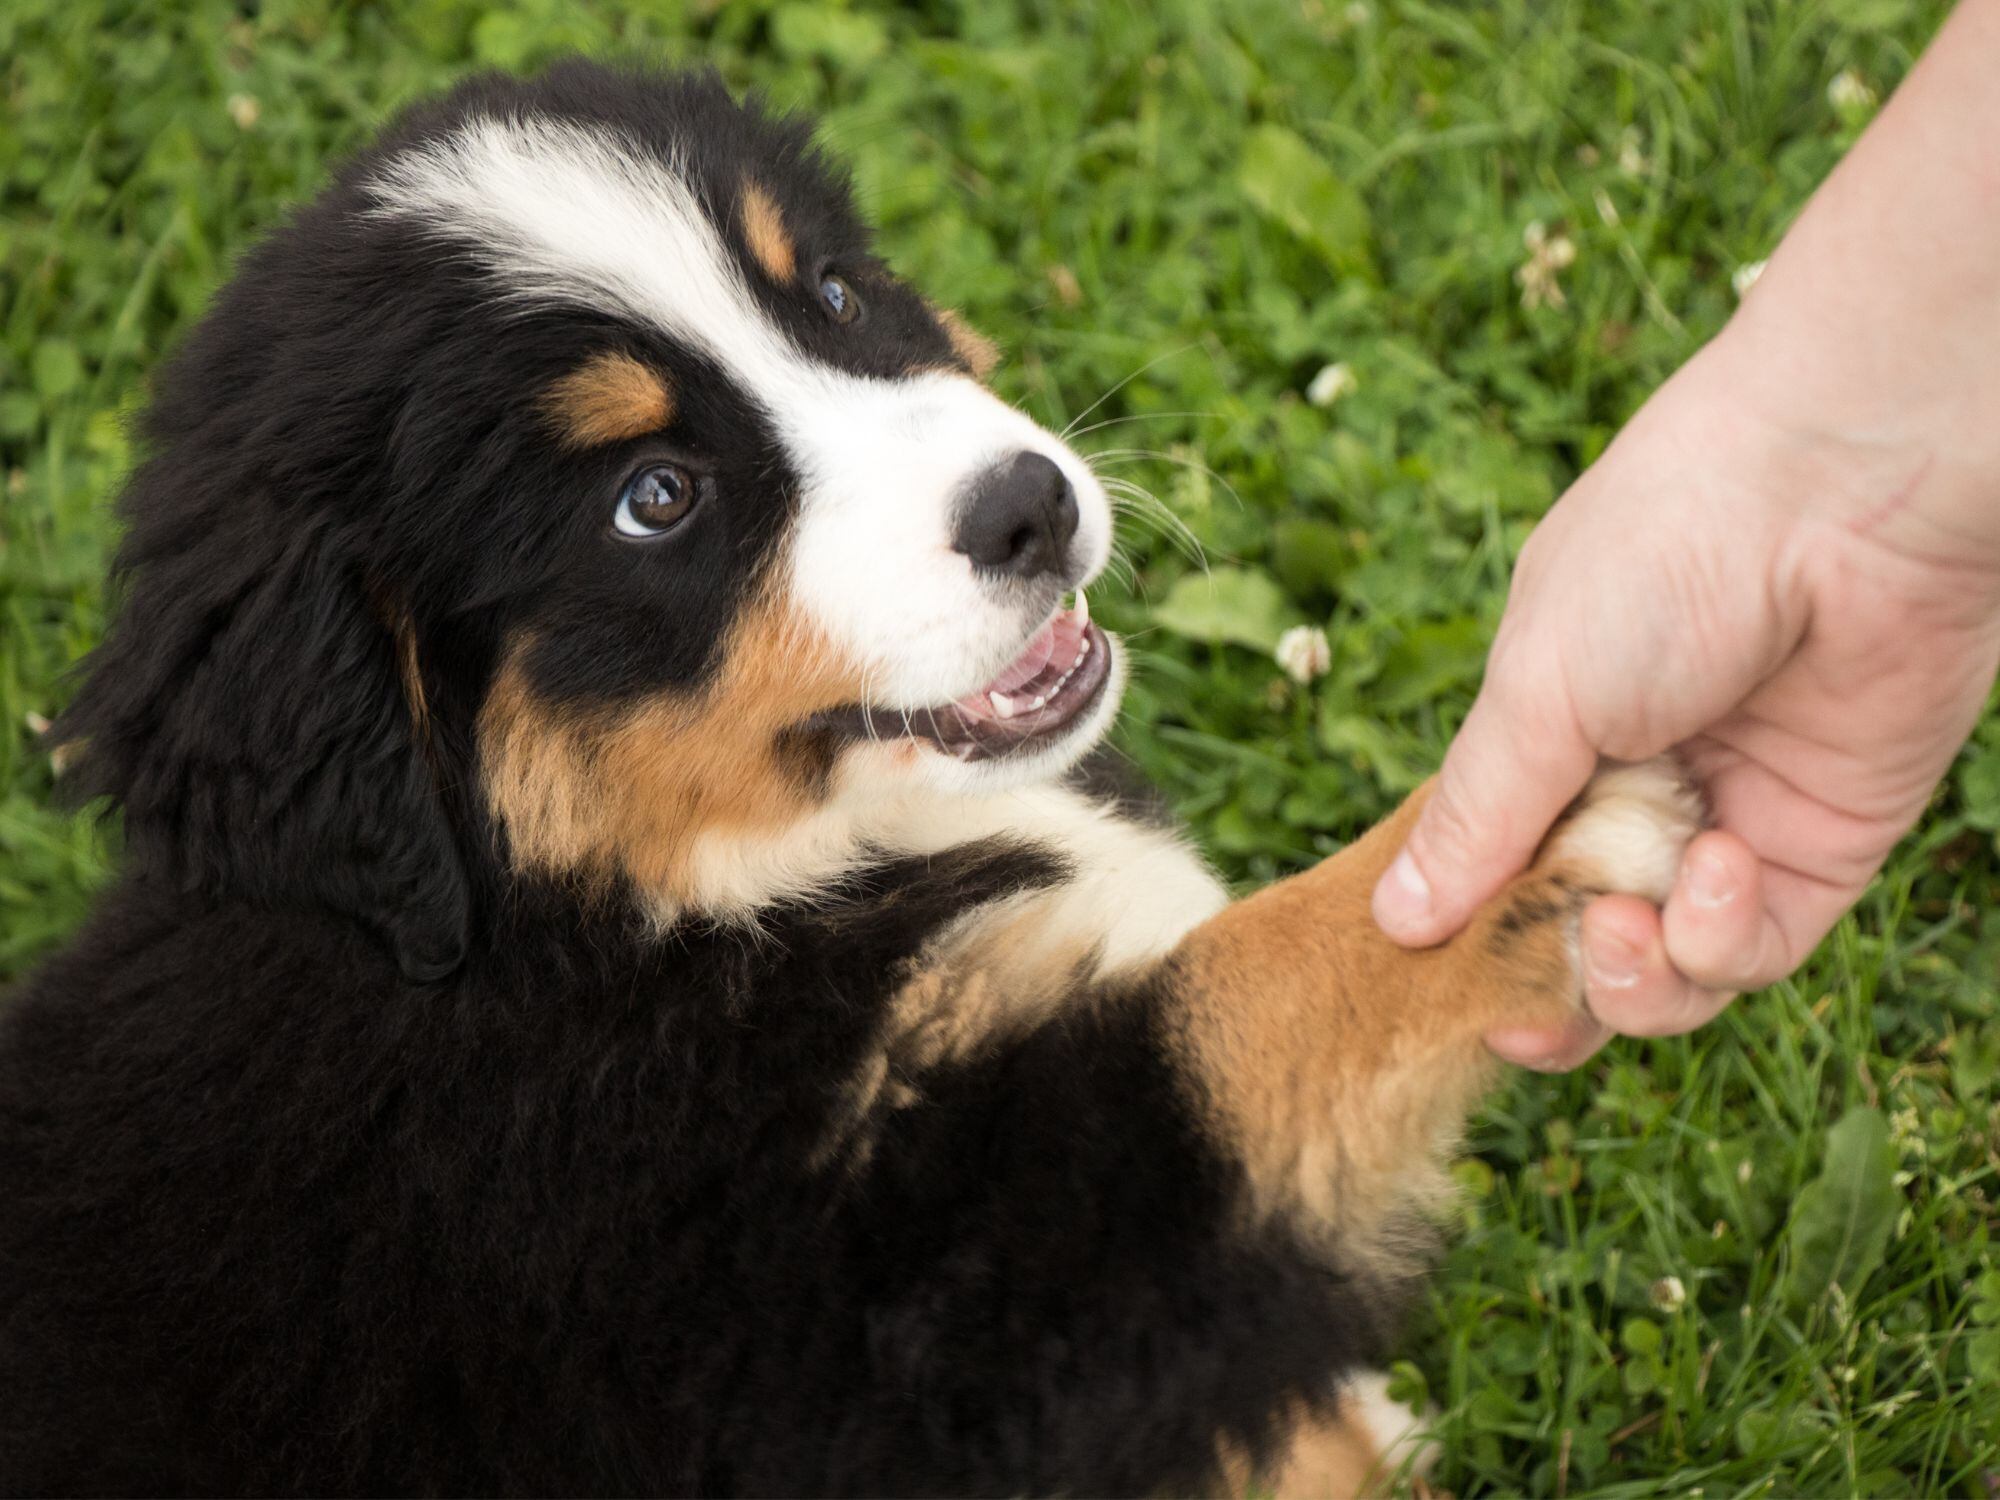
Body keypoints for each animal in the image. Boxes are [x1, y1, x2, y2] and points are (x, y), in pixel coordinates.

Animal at [0, 64, 1704, 1500]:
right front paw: (1511, 850)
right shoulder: (889, 1325)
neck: (607, 920)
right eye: (655, 498)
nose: (1029, 508)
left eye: (828, 292)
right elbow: (1223, 1019)